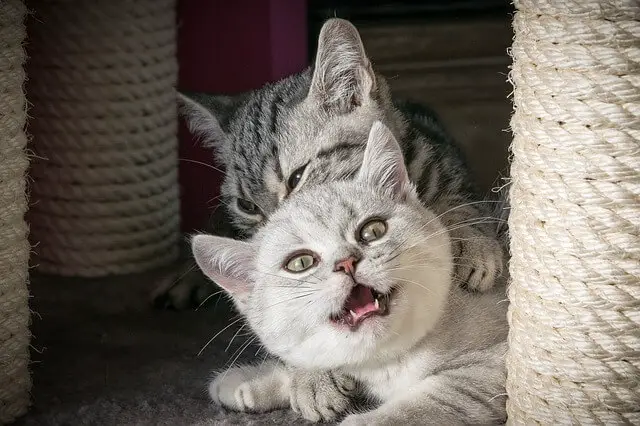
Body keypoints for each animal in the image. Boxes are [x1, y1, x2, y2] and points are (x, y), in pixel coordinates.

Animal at [192, 121, 508, 424]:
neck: (386, 362)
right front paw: (250, 380)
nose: (346, 262)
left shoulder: (494, 364)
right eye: (300, 263)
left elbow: (436, 398)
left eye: (373, 230)